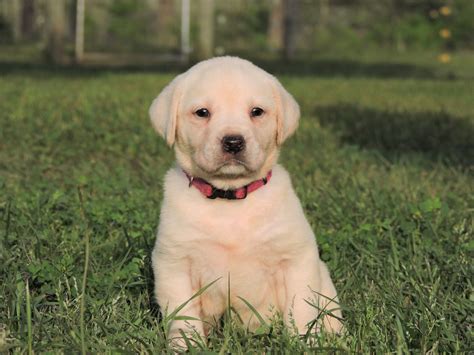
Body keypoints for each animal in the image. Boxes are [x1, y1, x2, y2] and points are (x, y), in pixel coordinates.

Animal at [150, 57, 342, 344]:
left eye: (257, 112)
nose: (233, 142)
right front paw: (185, 345)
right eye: (202, 113)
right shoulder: (174, 263)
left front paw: (305, 343)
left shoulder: (296, 258)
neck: (230, 198)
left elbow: (301, 309)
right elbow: (183, 316)